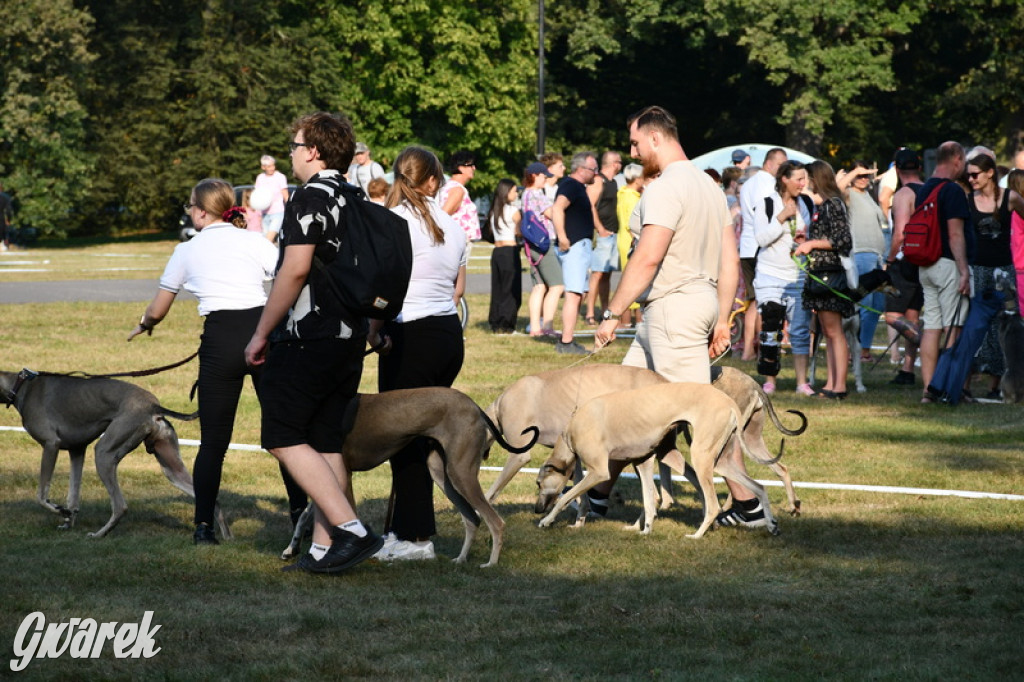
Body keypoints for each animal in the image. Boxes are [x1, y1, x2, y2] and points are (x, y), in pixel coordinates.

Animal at [536, 382, 774, 536]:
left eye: (538, 483)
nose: (537, 509)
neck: (571, 430)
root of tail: (729, 402)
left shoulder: (599, 471)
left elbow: (566, 498)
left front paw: (546, 520)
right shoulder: (642, 461)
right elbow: (649, 500)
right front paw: (645, 530)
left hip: (700, 456)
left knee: (713, 504)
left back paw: (697, 534)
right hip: (719, 461)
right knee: (759, 486)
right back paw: (771, 525)